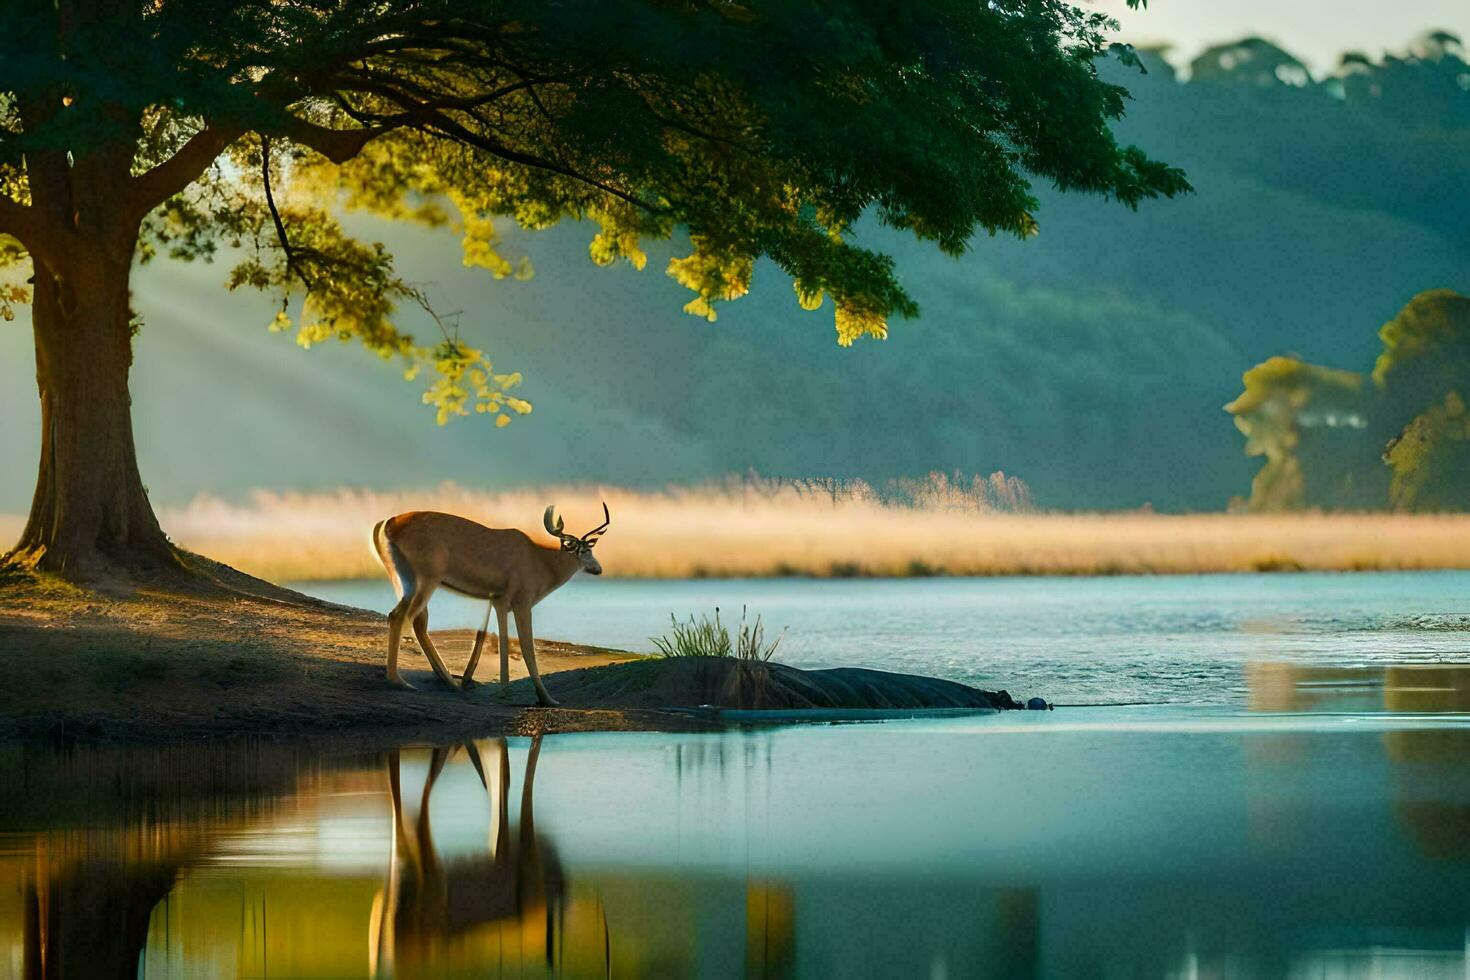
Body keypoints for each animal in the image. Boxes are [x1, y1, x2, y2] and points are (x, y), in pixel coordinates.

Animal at [376, 505, 611, 705]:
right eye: (586, 551)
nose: (598, 568)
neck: (541, 562)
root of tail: (388, 523)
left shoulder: (497, 600)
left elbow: (494, 637)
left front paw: (497, 688)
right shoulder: (522, 603)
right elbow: (526, 646)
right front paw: (546, 699)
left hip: (404, 580)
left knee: (412, 620)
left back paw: (450, 683)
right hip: (426, 580)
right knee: (404, 617)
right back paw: (399, 681)